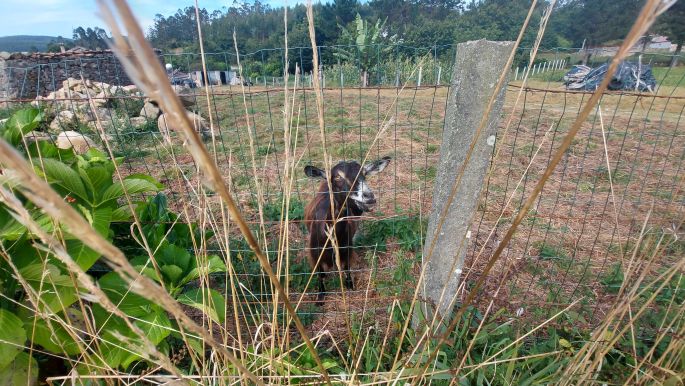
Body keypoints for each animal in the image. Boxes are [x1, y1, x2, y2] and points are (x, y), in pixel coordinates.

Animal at [304, 157, 390, 302]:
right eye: (338, 177)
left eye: (364, 174)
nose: (369, 197)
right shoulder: (315, 254)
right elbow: (321, 274)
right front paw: (320, 296)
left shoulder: (347, 249)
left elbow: (346, 268)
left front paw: (350, 284)